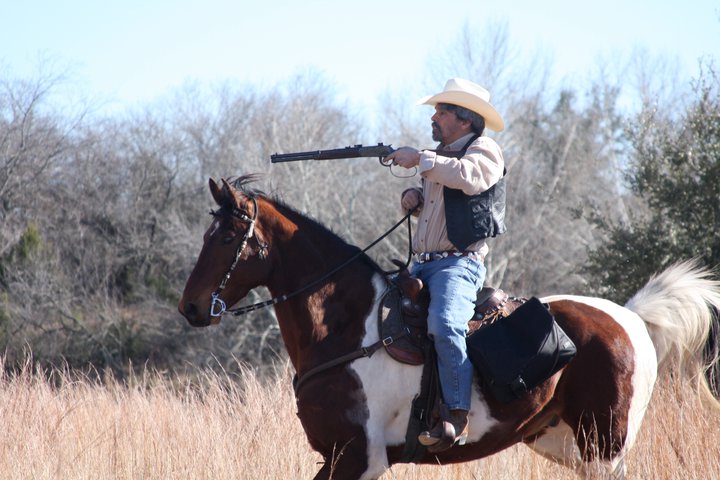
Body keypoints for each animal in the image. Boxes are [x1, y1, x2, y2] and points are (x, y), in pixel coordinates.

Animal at [177, 177, 720, 480]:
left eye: (226, 237)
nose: (191, 307)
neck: (352, 329)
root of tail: (629, 317)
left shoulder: (355, 459)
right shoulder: (339, 459)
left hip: (603, 450)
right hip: (565, 445)